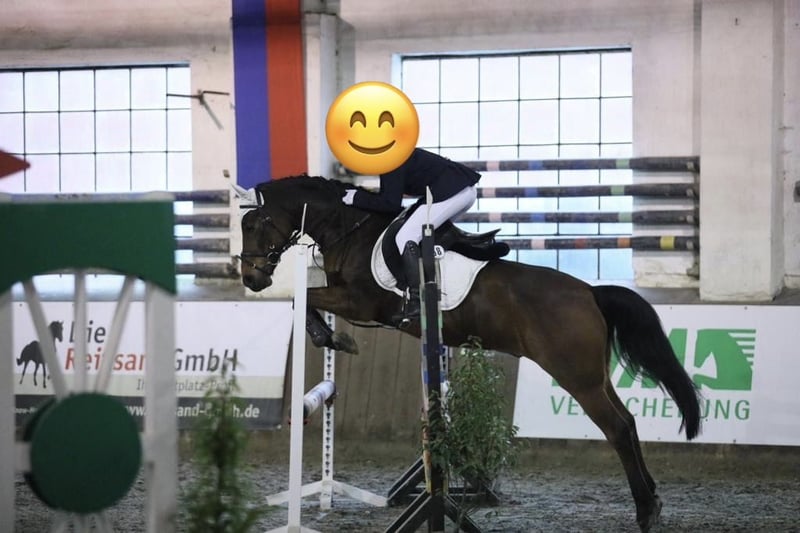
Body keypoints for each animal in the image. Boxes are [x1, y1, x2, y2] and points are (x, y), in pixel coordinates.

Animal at [238, 174, 702, 533]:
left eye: (257, 224)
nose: (251, 278)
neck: (351, 230)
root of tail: (590, 291)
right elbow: (305, 301)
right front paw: (333, 338)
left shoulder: (360, 301)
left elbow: (303, 300)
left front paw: (336, 340)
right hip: (595, 376)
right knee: (628, 421)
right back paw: (653, 499)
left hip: (577, 378)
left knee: (617, 428)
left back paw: (645, 511)